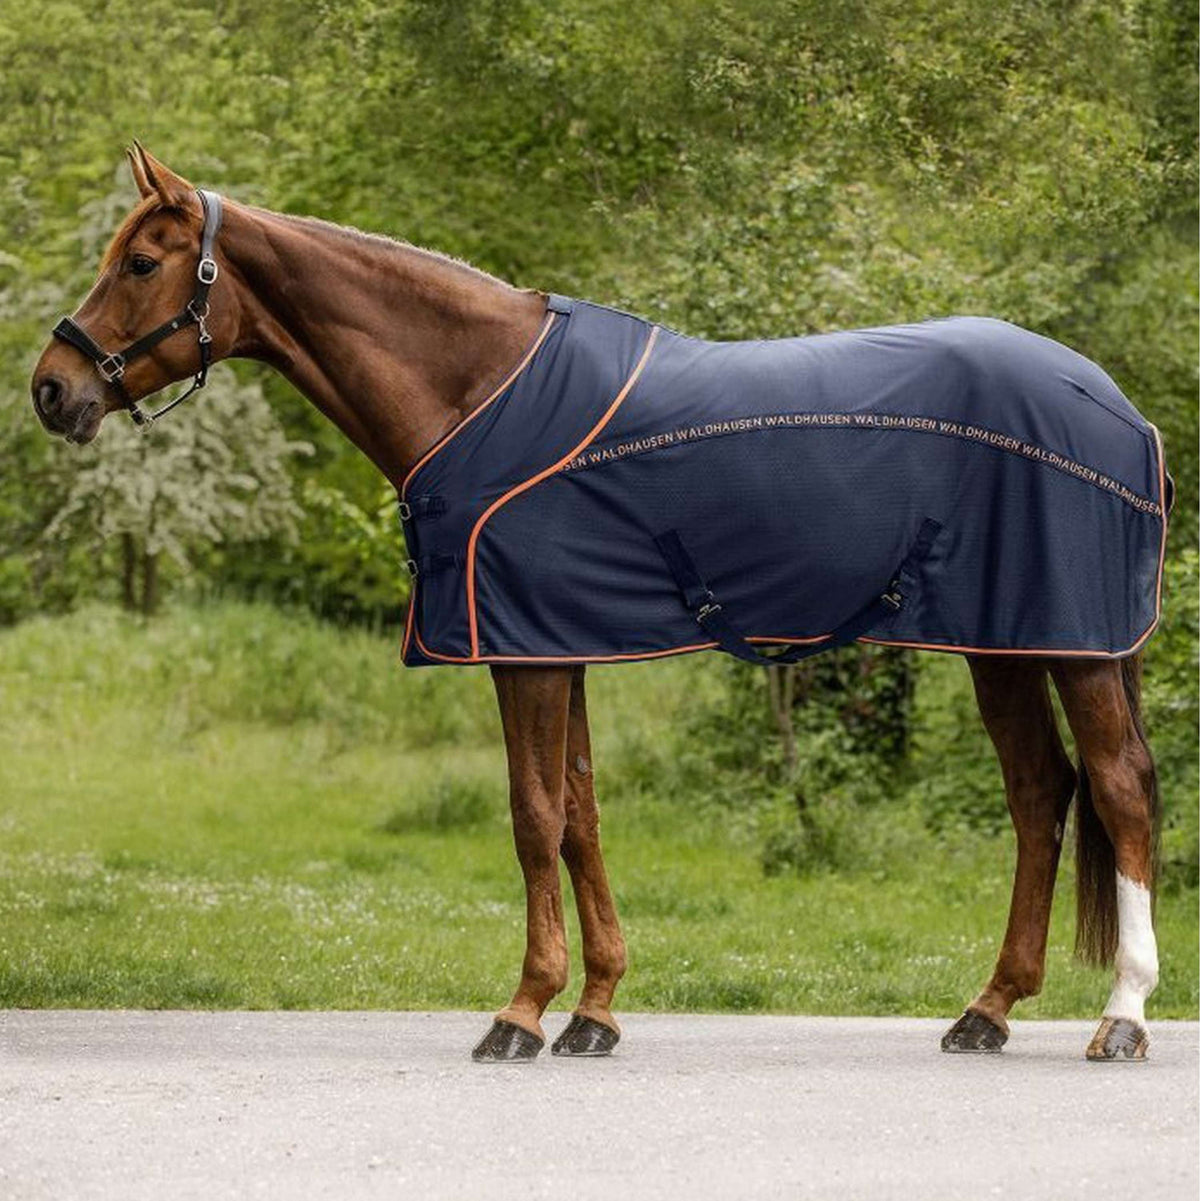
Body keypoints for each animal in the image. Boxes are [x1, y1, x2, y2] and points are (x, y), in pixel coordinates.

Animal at [28, 147, 1167, 1061]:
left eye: (141, 262)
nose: (50, 388)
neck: (478, 389)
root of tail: (1118, 406)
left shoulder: (524, 652)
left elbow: (534, 818)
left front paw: (522, 1011)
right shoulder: (557, 644)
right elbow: (579, 815)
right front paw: (596, 1009)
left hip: (1076, 646)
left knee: (1117, 790)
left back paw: (1122, 1016)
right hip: (1007, 644)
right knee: (1040, 795)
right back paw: (988, 1008)